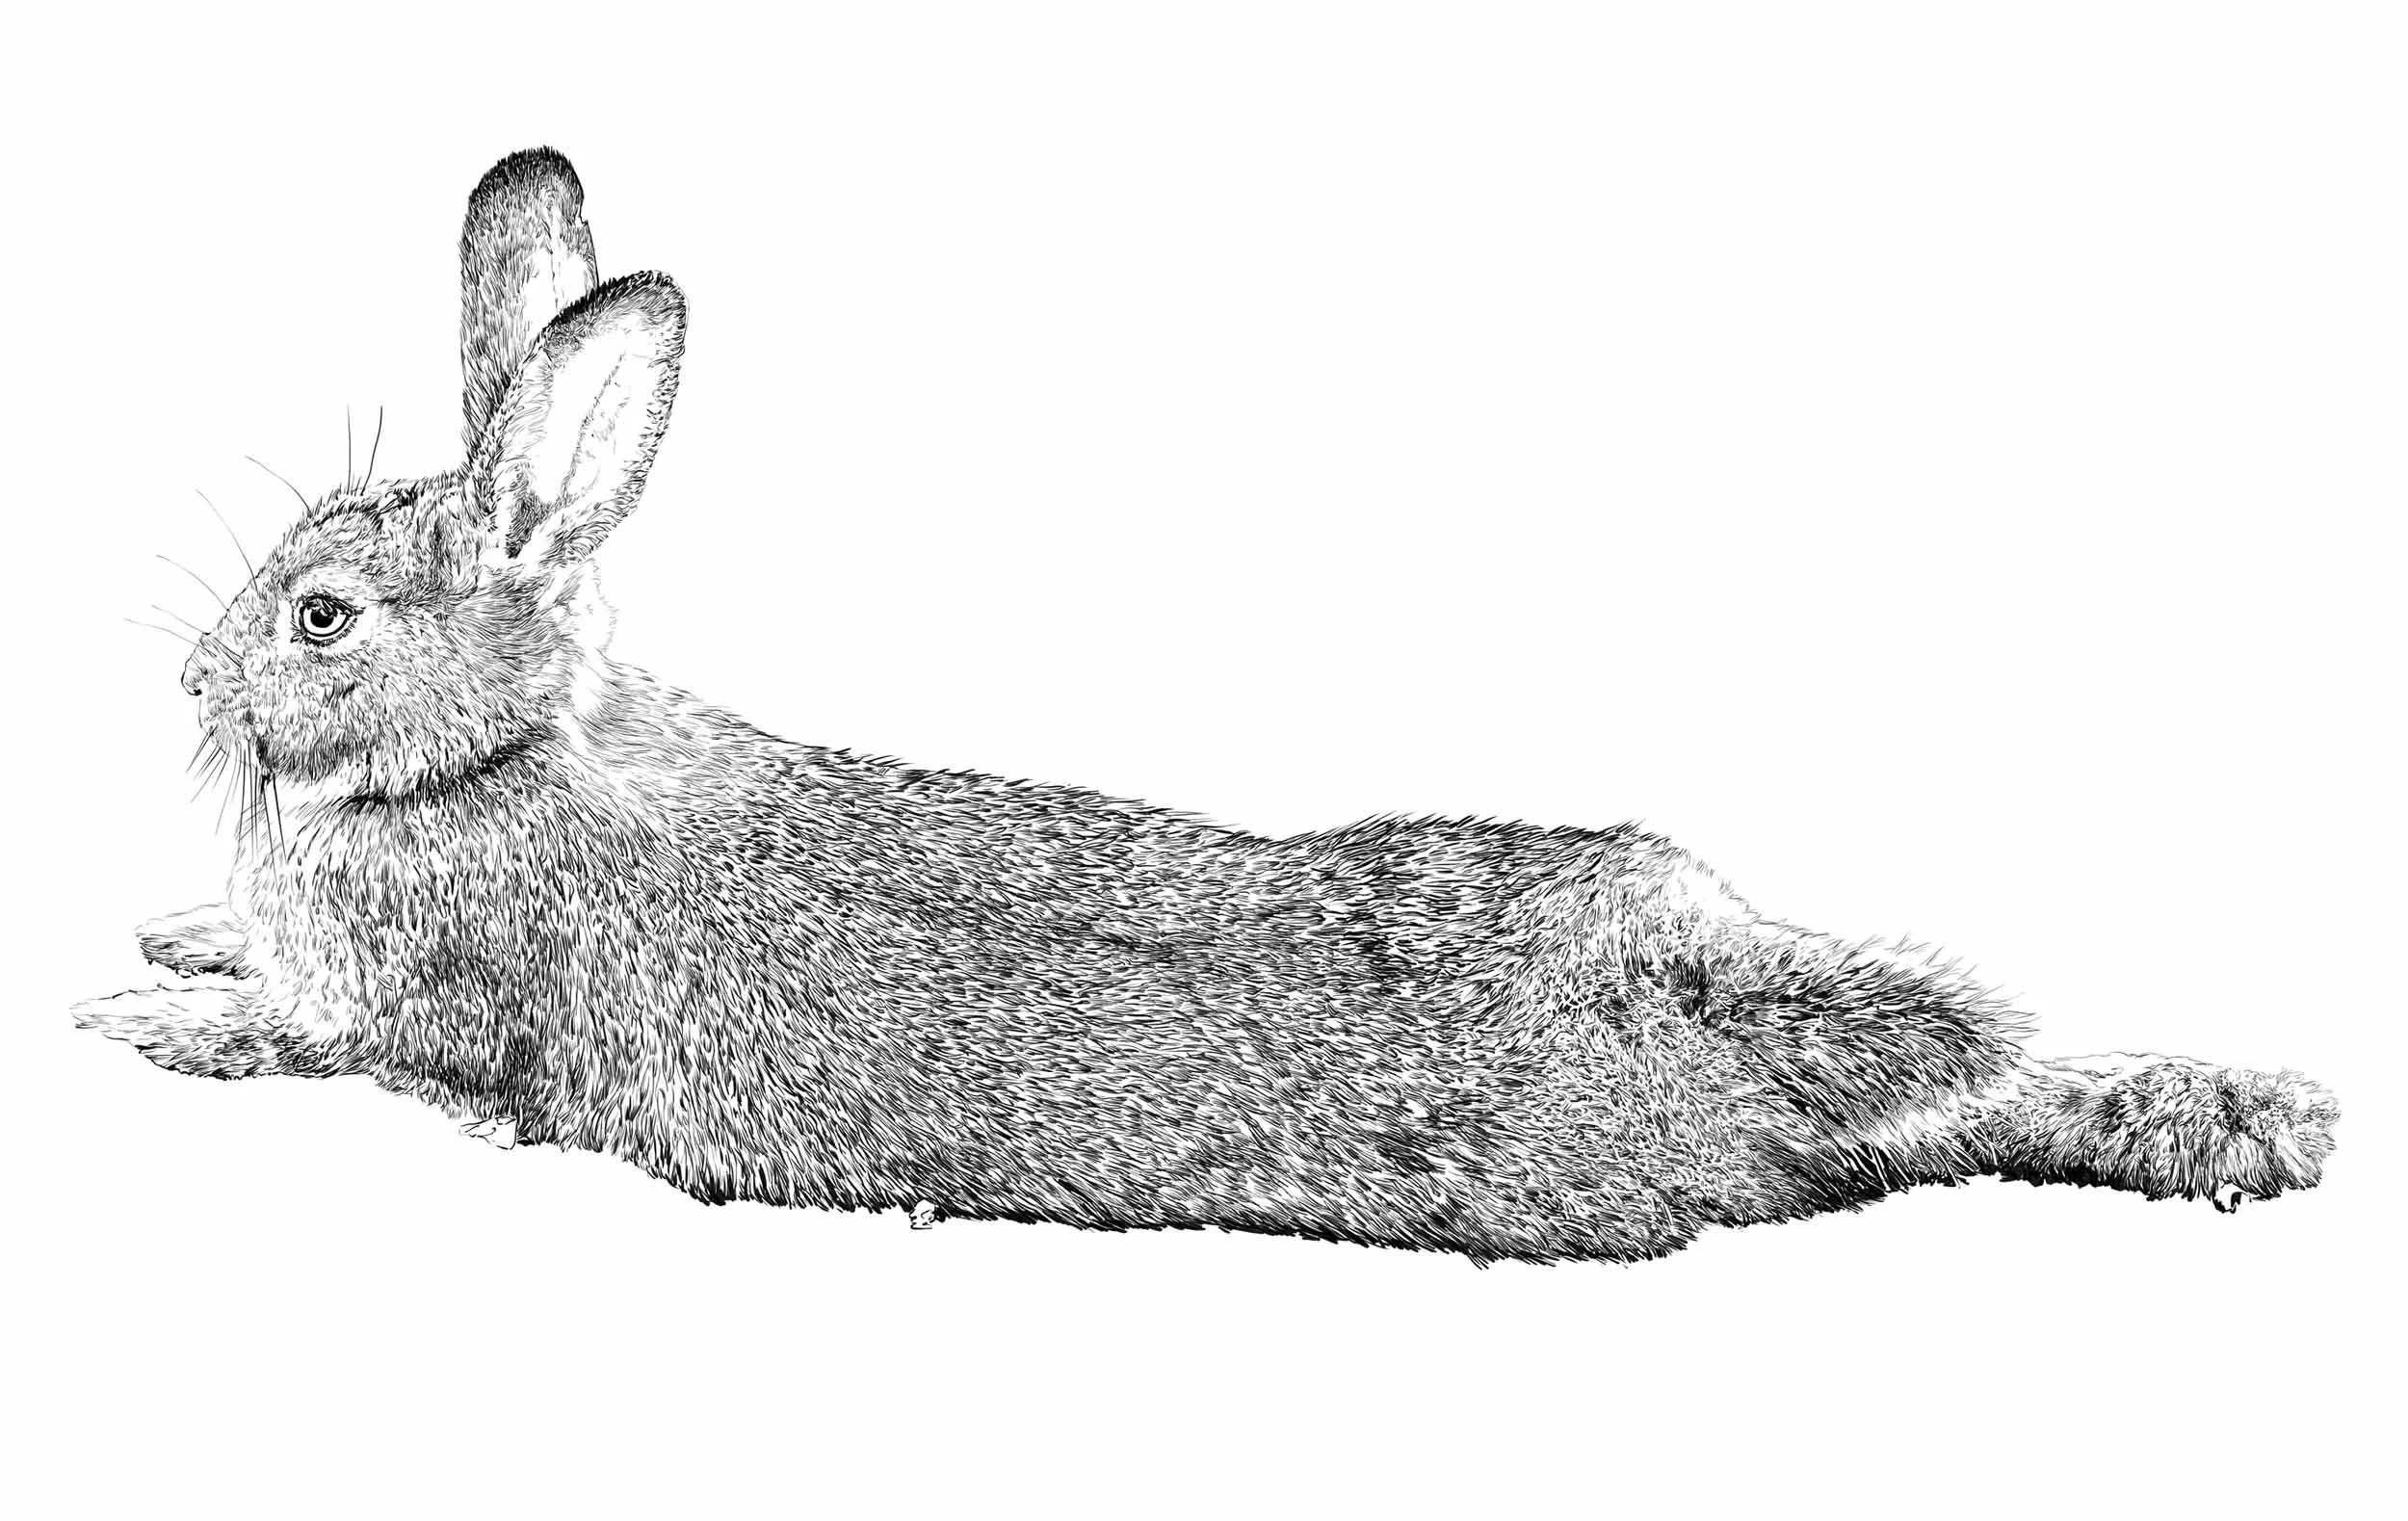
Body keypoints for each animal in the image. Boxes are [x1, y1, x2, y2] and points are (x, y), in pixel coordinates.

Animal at [74, 148, 2337, 1264]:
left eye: (322, 615)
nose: (188, 679)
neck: (498, 751)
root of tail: (1712, 993)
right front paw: (171, 932)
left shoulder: (423, 1013)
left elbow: (314, 1038)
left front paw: (140, 1014)